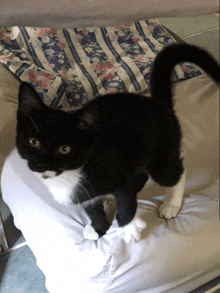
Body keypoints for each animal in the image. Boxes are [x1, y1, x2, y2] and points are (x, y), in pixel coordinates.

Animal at [16, 42, 220, 242]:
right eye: (33, 141)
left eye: (65, 148)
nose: (43, 163)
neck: (68, 176)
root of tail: (159, 103)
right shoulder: (84, 192)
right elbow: (92, 208)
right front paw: (98, 228)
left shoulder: (120, 176)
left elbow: (126, 205)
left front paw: (128, 228)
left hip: (161, 155)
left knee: (176, 173)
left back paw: (171, 204)